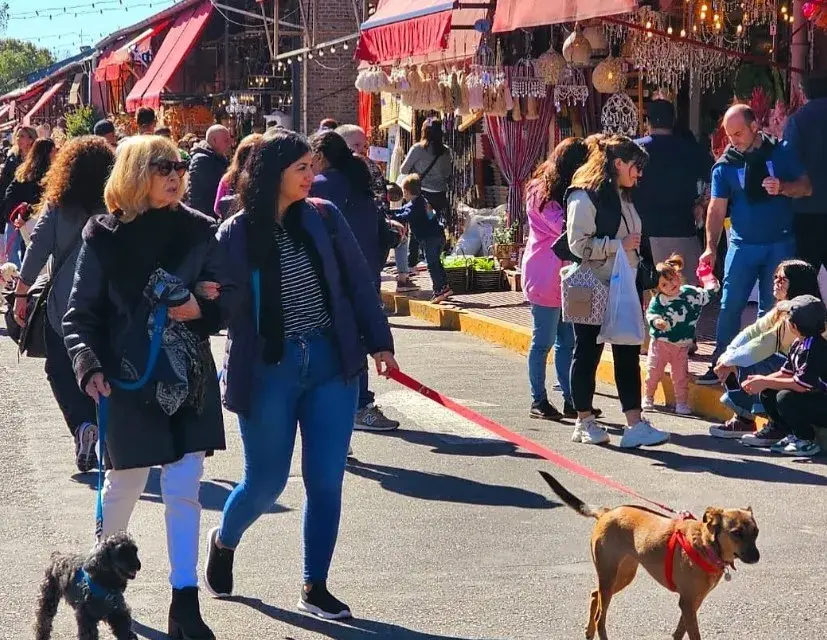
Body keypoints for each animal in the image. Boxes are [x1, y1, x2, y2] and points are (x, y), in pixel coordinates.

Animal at [540, 470, 760, 640]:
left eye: (756, 532)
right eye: (736, 533)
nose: (756, 557)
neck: (706, 545)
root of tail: (607, 512)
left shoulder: (693, 602)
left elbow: (680, 632)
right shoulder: (688, 603)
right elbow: (693, 634)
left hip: (622, 575)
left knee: (595, 595)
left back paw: (588, 631)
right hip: (609, 576)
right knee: (600, 616)